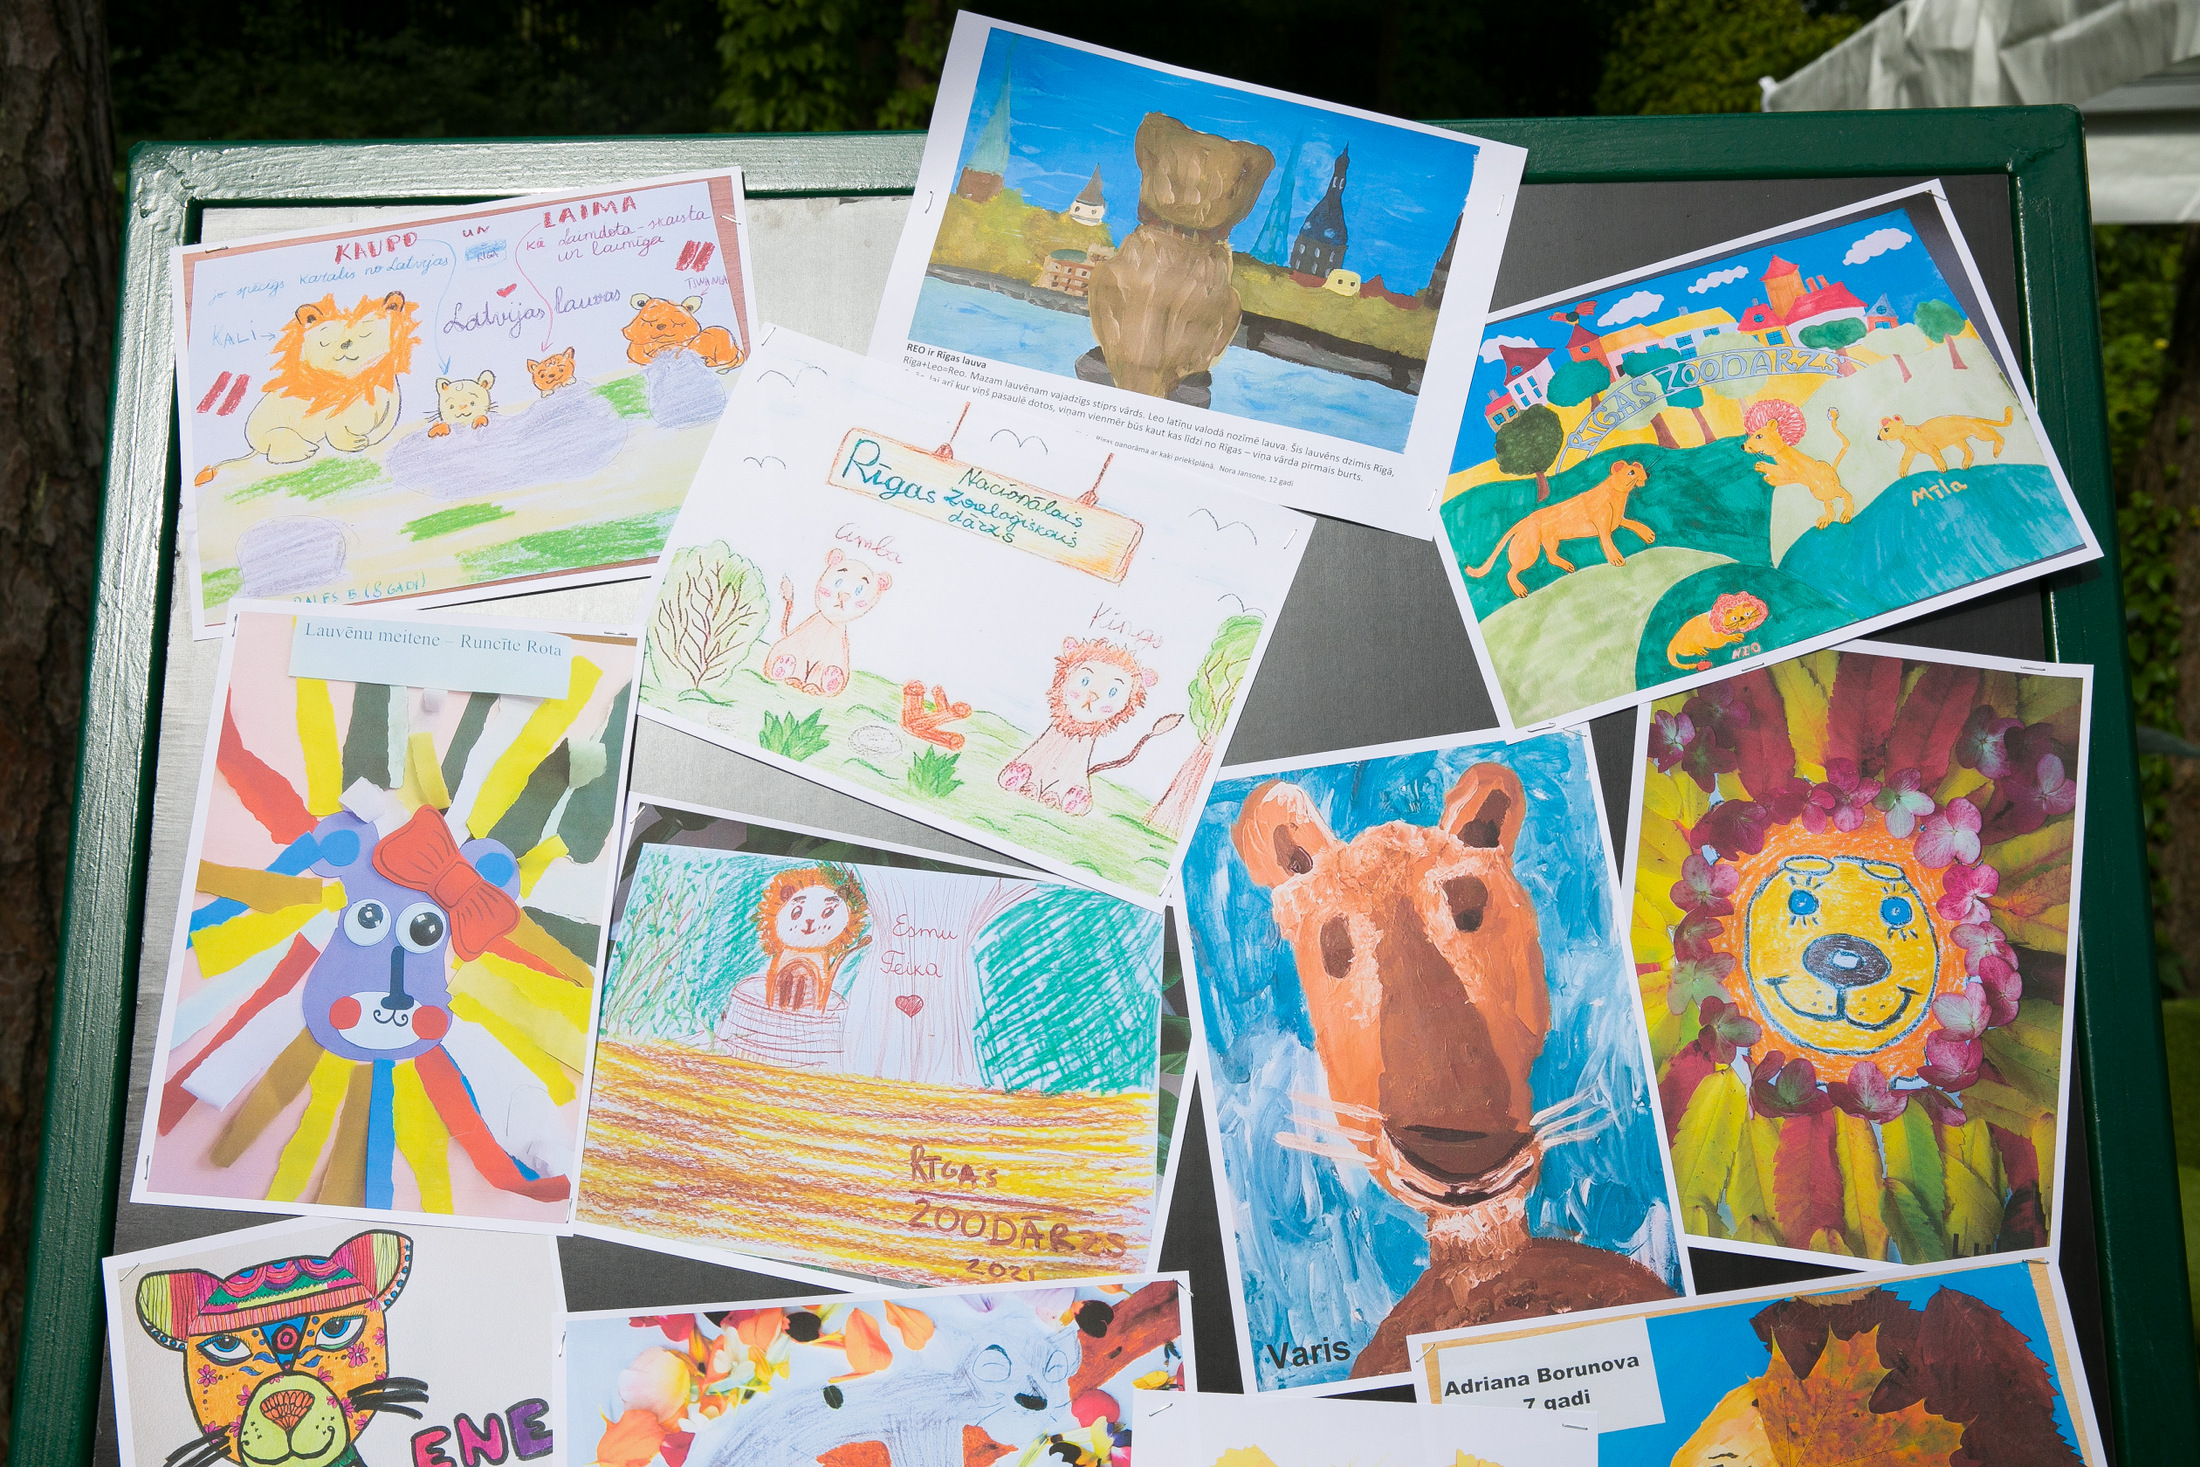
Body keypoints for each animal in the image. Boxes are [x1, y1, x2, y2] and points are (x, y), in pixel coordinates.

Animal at [762, 549, 891, 698]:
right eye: (838, 582)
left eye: (859, 590)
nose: (843, 595)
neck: (828, 625)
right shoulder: (802, 652)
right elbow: (801, 664)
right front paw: (795, 681)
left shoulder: (826, 658)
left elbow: (818, 670)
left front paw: (813, 688)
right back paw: (784, 666)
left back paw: (831, 677)